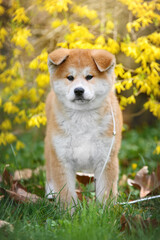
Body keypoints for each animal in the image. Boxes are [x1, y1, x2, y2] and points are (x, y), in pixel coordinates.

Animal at [44, 47, 122, 205]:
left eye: (89, 77)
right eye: (70, 77)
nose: (79, 90)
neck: (83, 118)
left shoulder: (106, 158)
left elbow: (106, 192)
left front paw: (106, 209)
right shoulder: (62, 158)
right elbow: (66, 193)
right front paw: (68, 210)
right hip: (50, 147)